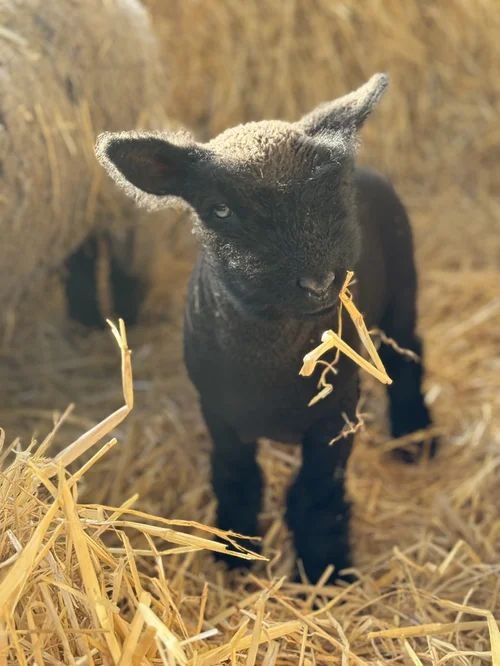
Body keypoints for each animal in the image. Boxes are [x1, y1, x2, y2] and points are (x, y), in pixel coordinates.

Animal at [95, 73, 438, 584]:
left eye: (335, 188)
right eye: (219, 209)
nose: (318, 282)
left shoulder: (335, 413)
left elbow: (316, 494)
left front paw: (325, 569)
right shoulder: (219, 411)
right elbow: (237, 478)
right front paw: (234, 554)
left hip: (403, 285)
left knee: (407, 352)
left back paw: (416, 434)